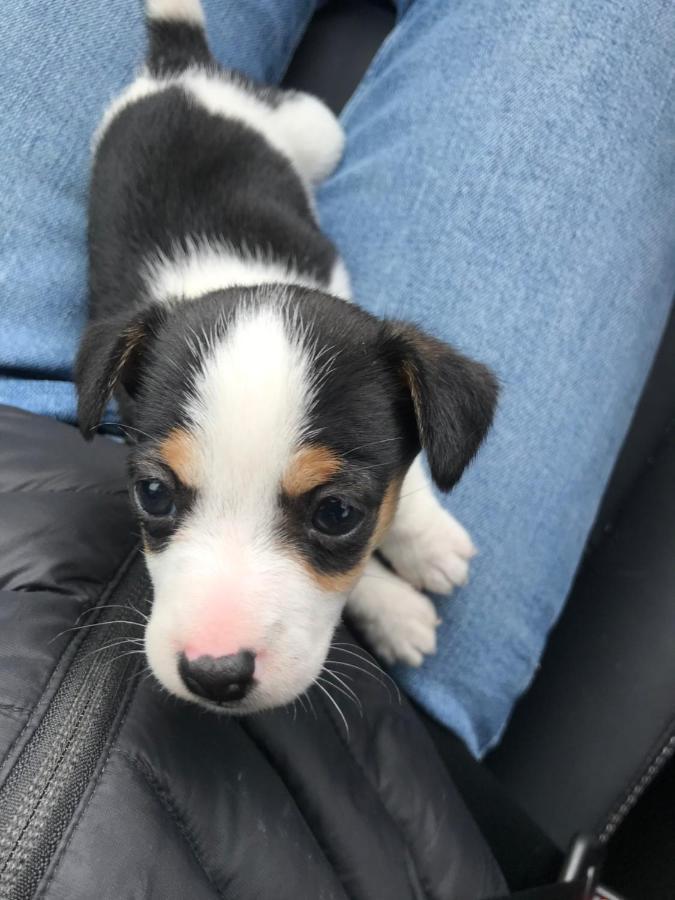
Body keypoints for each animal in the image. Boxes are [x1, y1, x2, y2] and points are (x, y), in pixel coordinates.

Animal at [76, 0, 500, 716]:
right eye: (153, 494)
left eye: (337, 513)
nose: (214, 675)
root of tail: (178, 69)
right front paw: (396, 611)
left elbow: (406, 477)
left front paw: (425, 539)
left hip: (319, 131)